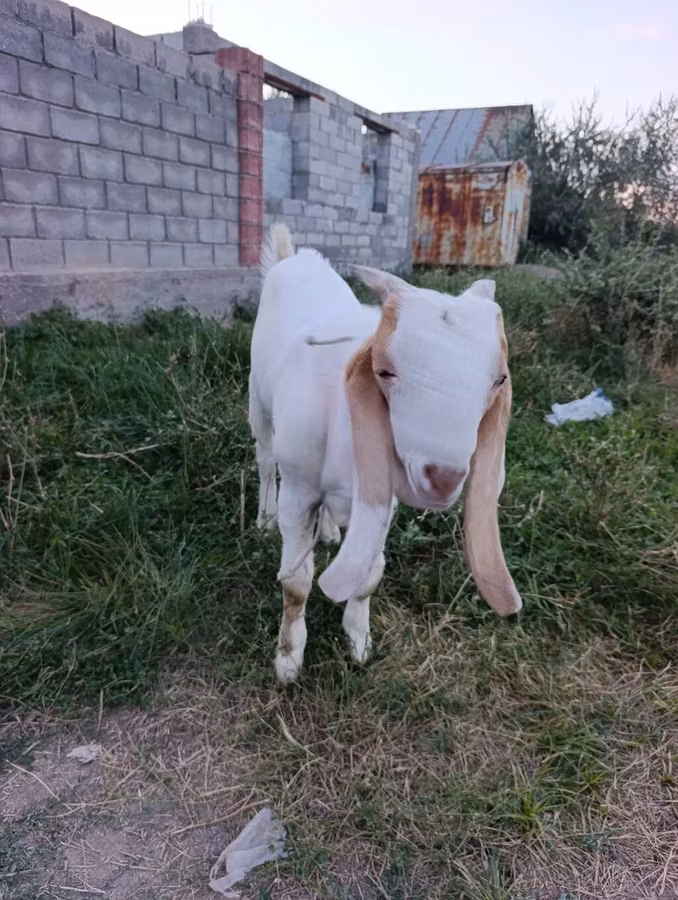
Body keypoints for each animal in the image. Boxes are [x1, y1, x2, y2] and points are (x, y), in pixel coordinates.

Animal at [249, 224, 521, 683]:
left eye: (499, 380)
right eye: (385, 370)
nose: (443, 478)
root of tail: (294, 257)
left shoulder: (385, 495)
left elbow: (370, 575)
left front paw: (359, 641)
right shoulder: (299, 492)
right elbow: (296, 583)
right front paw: (288, 659)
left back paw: (329, 530)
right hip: (259, 402)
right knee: (265, 460)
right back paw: (264, 518)